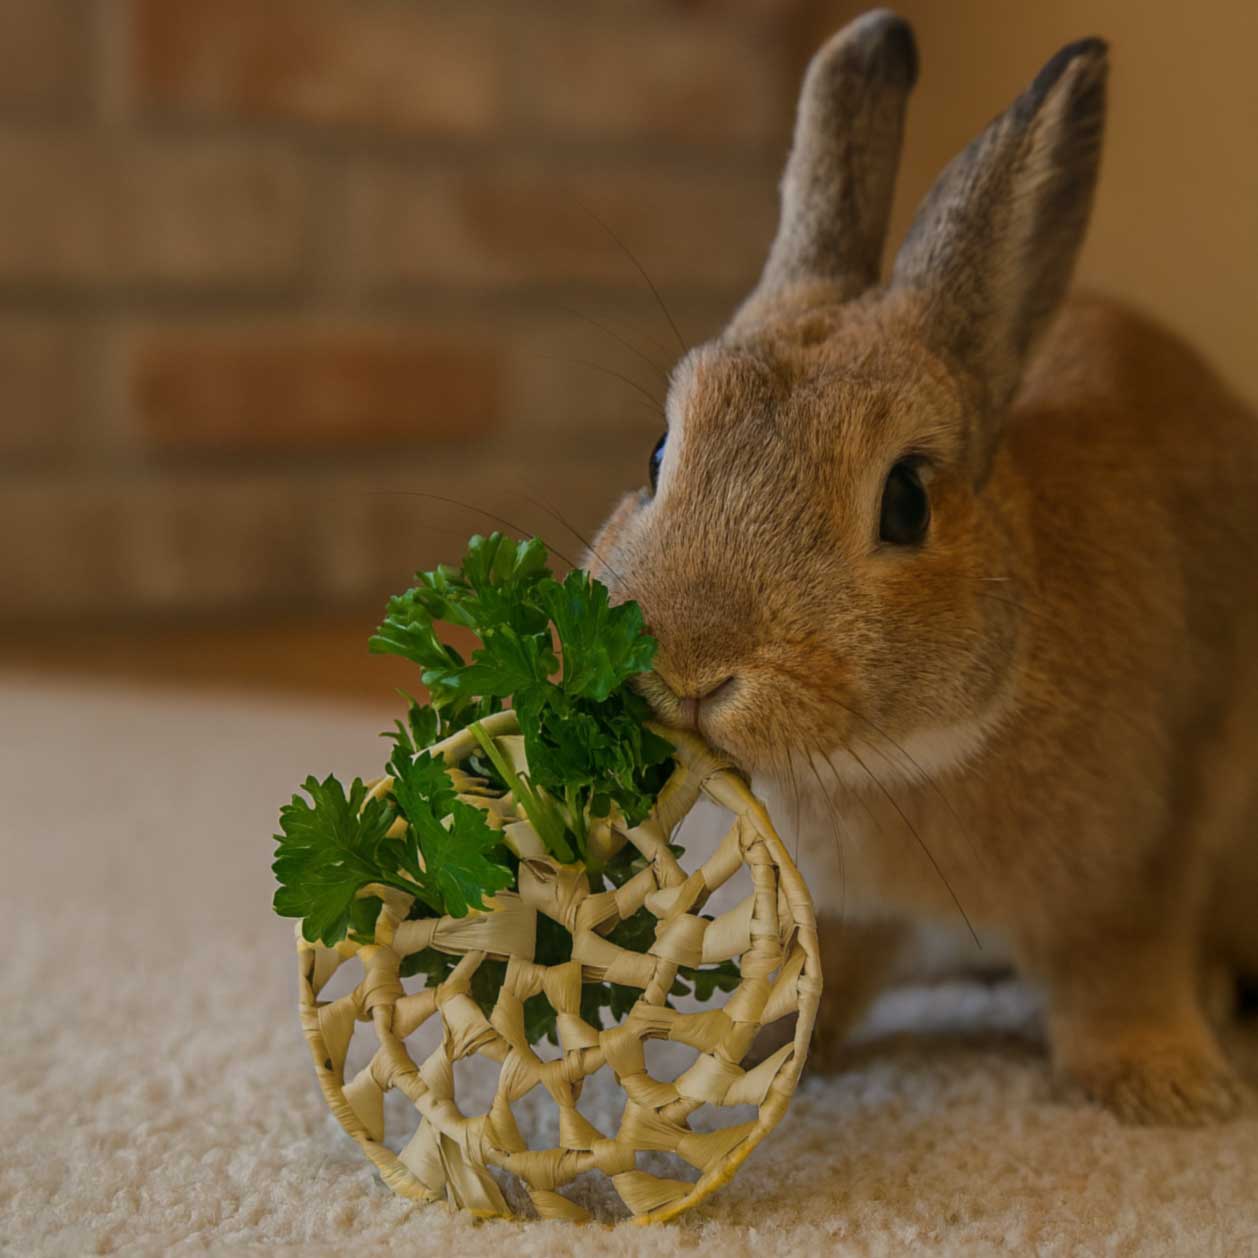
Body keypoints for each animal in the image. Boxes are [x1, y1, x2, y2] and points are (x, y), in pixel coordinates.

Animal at [587, 9, 1258, 1126]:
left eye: (905, 501)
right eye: (655, 455)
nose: (688, 667)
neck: (913, 756)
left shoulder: (1152, 843)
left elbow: (1121, 970)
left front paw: (1169, 1088)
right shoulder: (847, 909)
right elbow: (829, 973)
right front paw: (750, 1050)